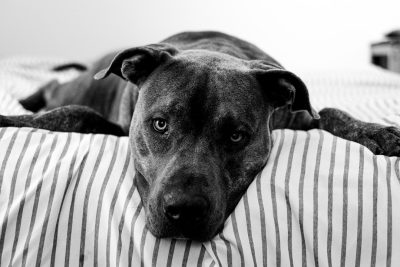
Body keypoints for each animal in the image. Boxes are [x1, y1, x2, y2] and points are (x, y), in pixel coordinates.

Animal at [0, 30, 400, 241]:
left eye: (237, 136)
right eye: (160, 124)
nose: (184, 210)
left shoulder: (300, 115)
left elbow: (332, 113)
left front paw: (381, 132)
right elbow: (75, 116)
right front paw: (8, 118)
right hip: (78, 84)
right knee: (55, 89)